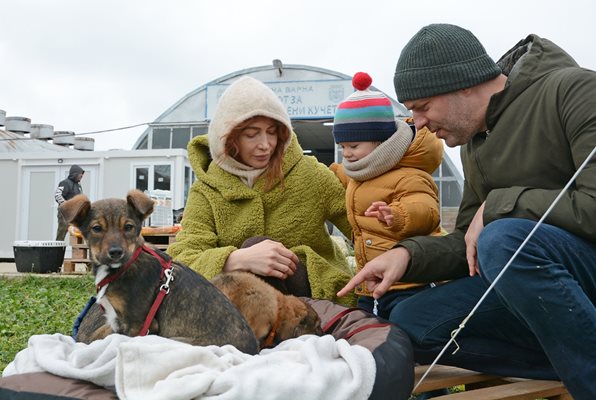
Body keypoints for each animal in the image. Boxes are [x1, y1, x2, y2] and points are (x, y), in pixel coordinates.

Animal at [60, 190, 258, 354]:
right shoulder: (118, 321)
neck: (123, 267)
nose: (116, 252)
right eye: (96, 228)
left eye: (129, 227)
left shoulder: (138, 324)